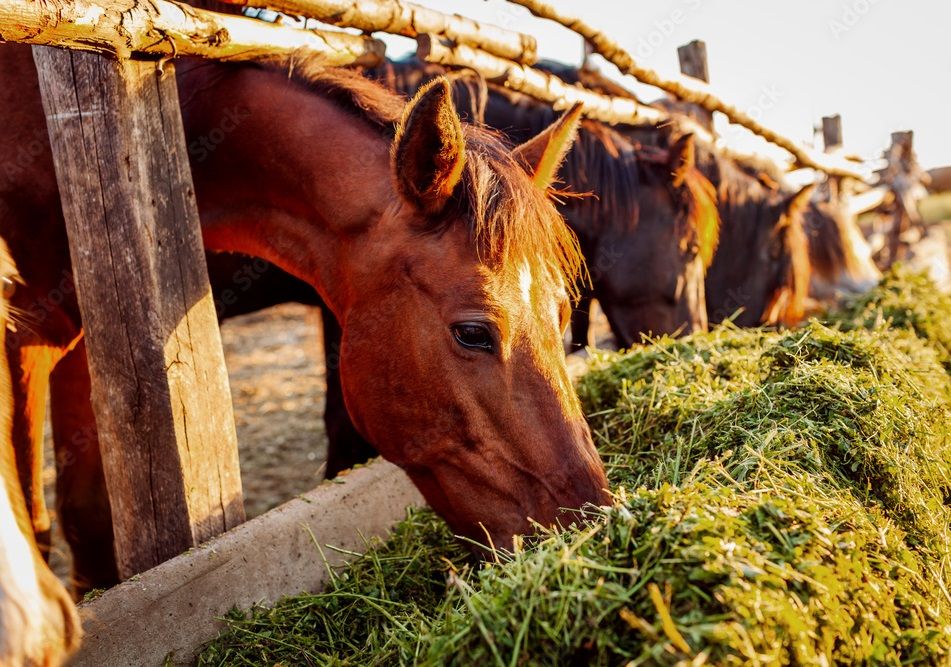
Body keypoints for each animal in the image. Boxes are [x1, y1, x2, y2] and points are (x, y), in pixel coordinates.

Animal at [1, 47, 608, 596]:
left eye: (561, 313)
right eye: (473, 332)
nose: (589, 528)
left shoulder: (82, 337)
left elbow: (84, 513)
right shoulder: (24, 343)